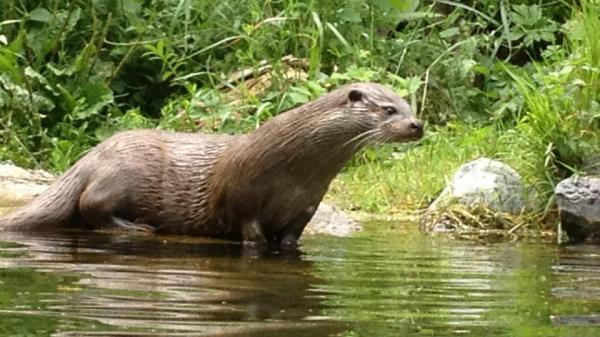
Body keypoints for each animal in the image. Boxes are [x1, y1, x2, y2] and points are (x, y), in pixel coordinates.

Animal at [0, 82, 422, 248]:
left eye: (409, 106)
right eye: (388, 110)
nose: (417, 125)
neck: (295, 170)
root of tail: (90, 156)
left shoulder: (305, 207)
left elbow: (290, 239)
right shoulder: (244, 200)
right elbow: (251, 234)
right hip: (120, 174)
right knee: (89, 206)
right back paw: (139, 227)